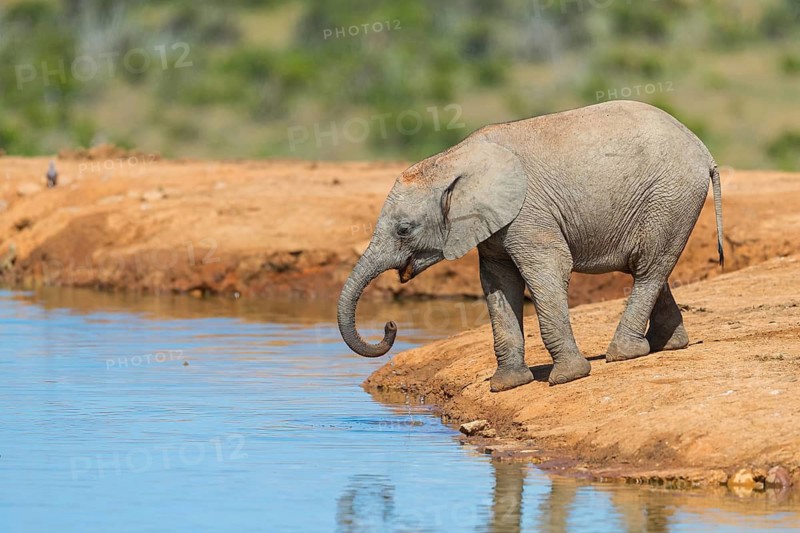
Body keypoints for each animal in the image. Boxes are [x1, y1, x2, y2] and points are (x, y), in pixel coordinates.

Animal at [338, 100, 723, 392]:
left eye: (404, 230)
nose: (390, 326)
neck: (450, 160)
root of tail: (704, 149)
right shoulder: (493, 225)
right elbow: (498, 284)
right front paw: (507, 385)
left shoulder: (527, 212)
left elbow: (547, 271)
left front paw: (567, 378)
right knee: (651, 265)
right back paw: (666, 345)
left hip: (671, 194)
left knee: (648, 268)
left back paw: (623, 354)